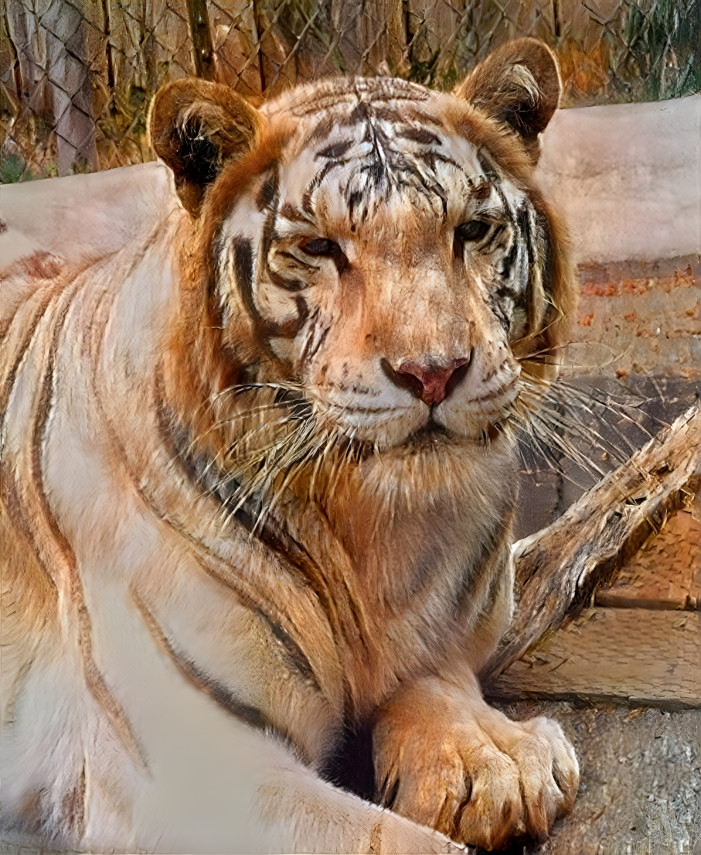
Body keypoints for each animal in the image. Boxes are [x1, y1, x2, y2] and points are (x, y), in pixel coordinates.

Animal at [1, 38, 576, 855]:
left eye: (471, 230)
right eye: (319, 248)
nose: (433, 372)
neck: (378, 536)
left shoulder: (437, 643)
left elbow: (434, 680)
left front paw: (496, 759)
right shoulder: (192, 768)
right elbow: (391, 841)